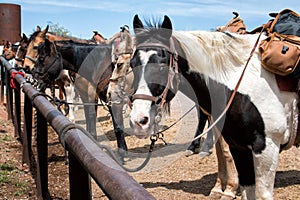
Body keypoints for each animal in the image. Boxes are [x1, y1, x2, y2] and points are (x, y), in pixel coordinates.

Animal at [129, 14, 300, 199]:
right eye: (132, 64)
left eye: (161, 66)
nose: (138, 120)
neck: (242, 82)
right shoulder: (238, 147)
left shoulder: (266, 147)